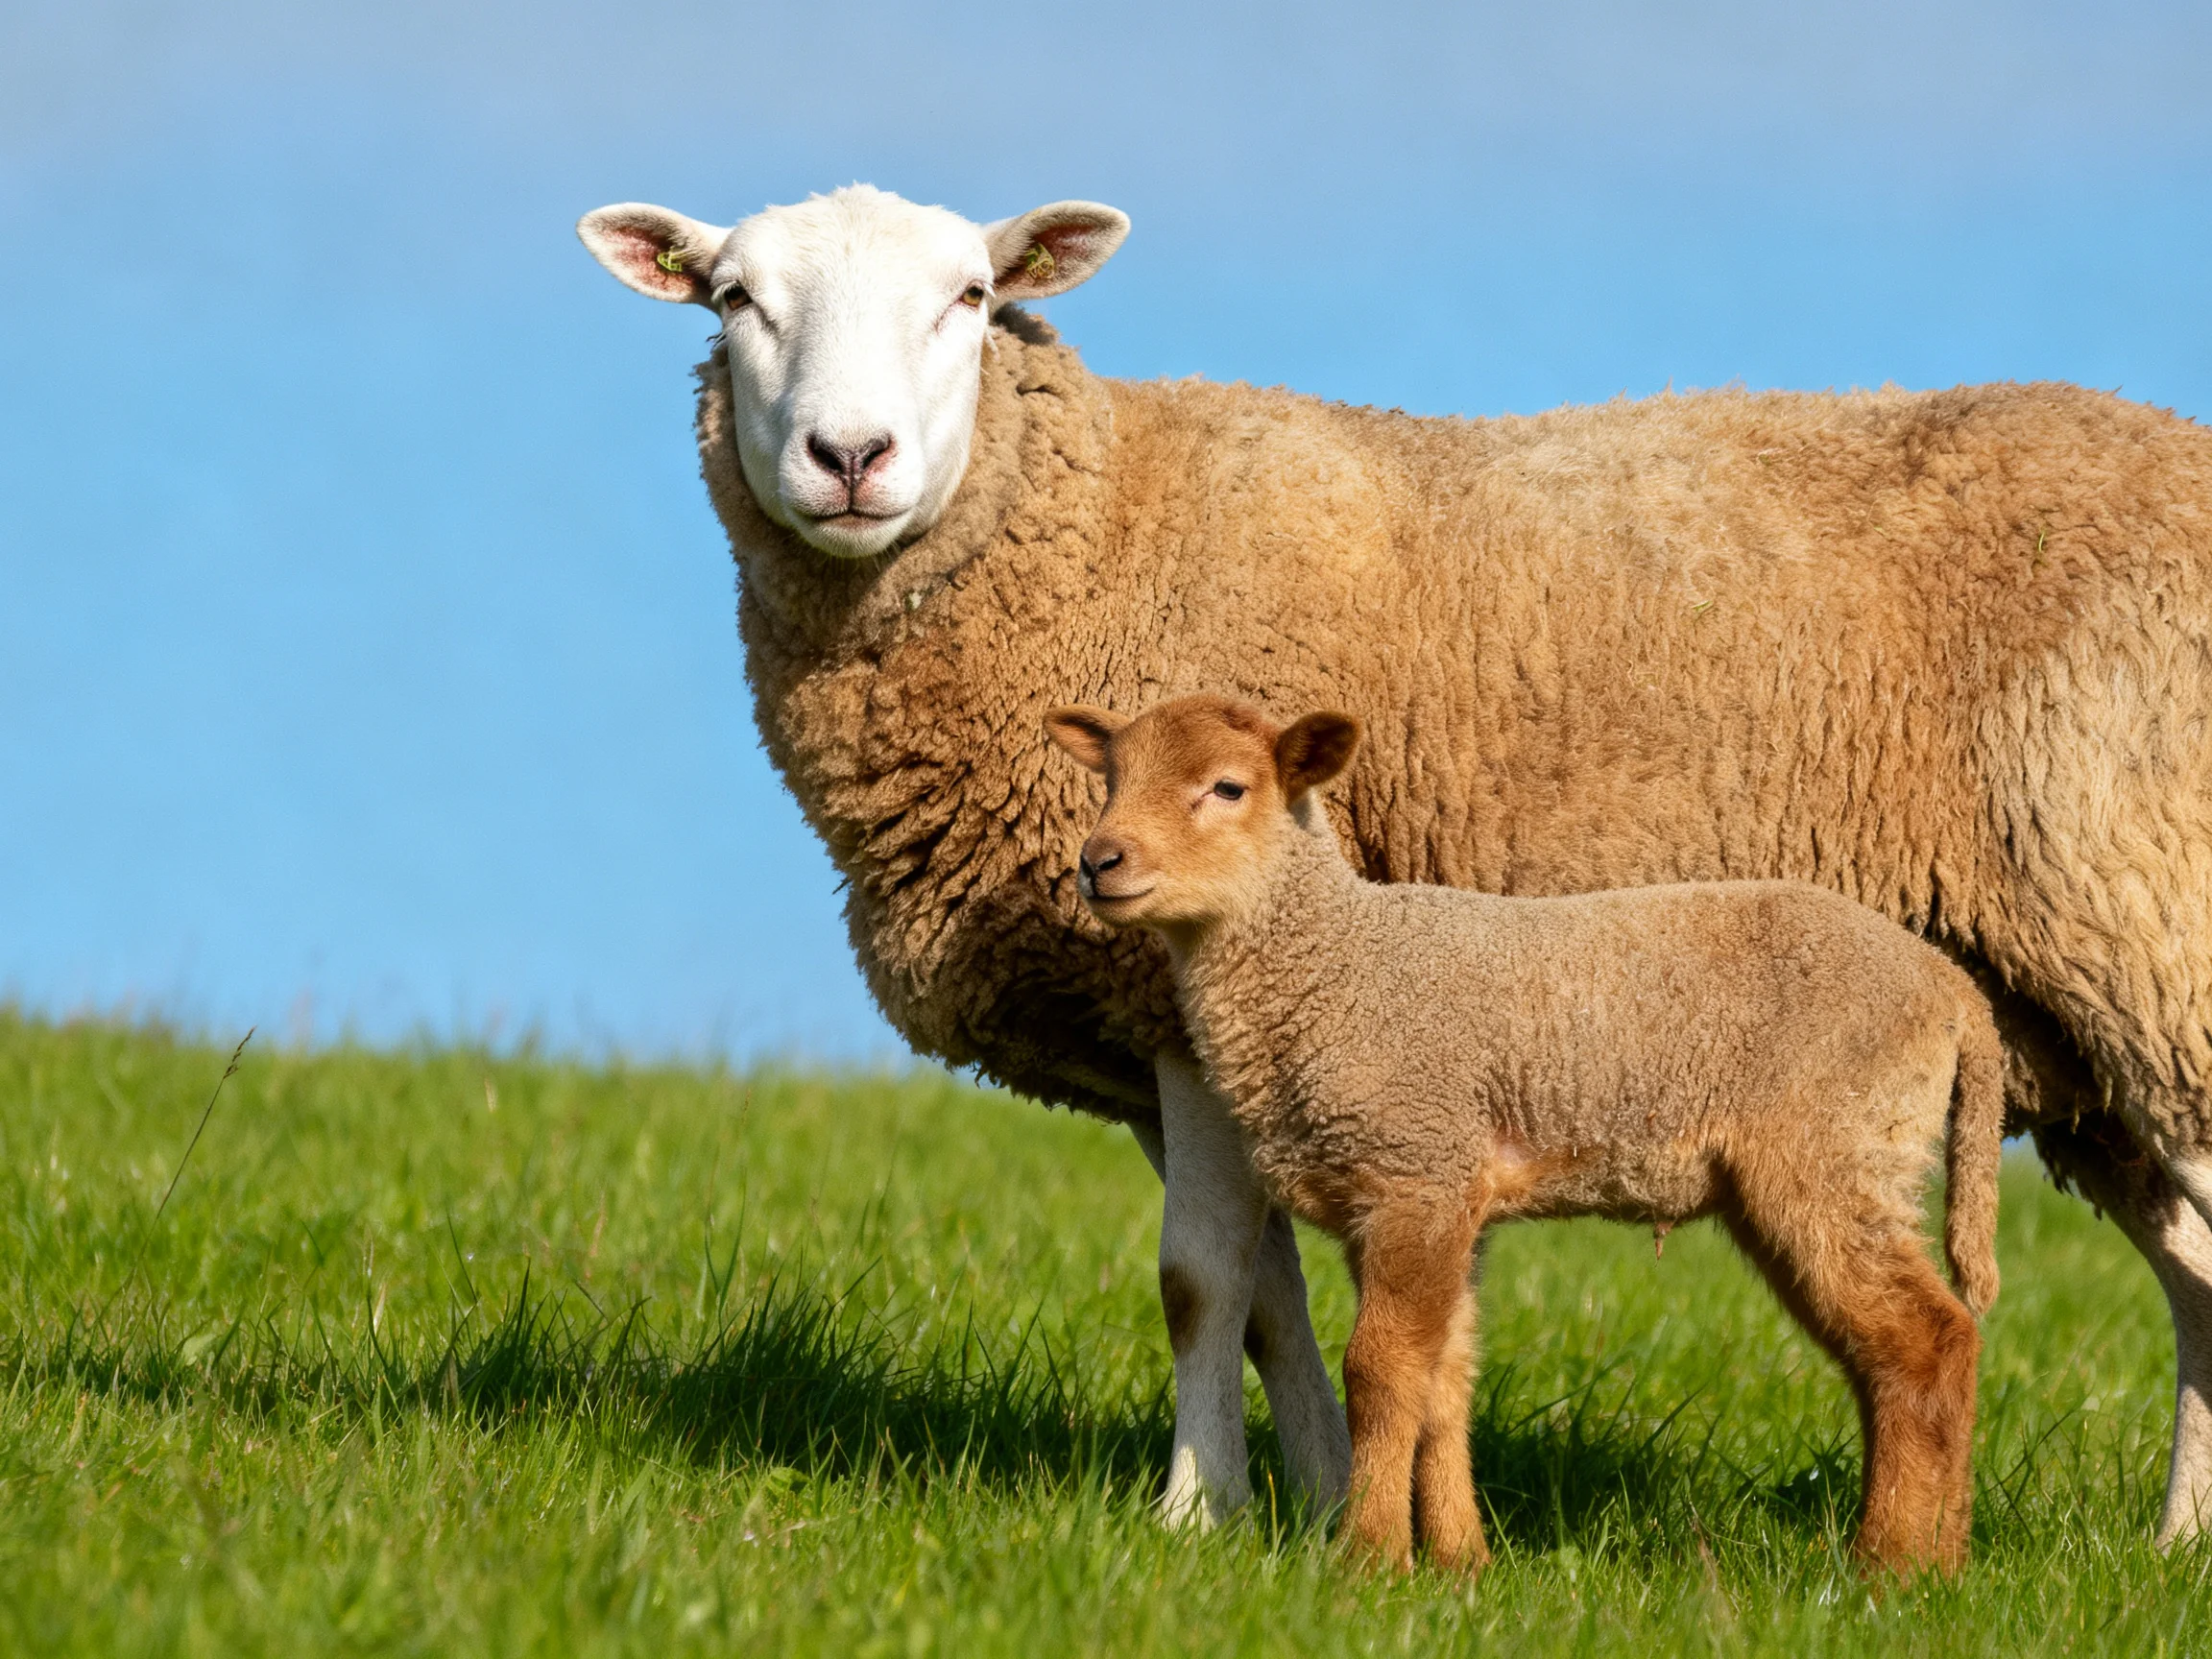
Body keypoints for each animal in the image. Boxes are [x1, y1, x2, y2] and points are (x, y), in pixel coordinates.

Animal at [1045, 692, 2006, 1575]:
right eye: (1113, 779)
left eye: (1228, 788)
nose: (1098, 862)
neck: (1340, 962)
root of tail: (1956, 998)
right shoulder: (1431, 1195)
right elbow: (1442, 1382)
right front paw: (1460, 1561)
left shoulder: (1416, 1171)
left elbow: (1380, 1372)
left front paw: (1370, 1558)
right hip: (1849, 1159)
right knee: (1916, 1353)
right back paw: (1945, 1558)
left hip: (1835, 1149)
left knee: (1925, 1344)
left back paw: (1888, 1566)